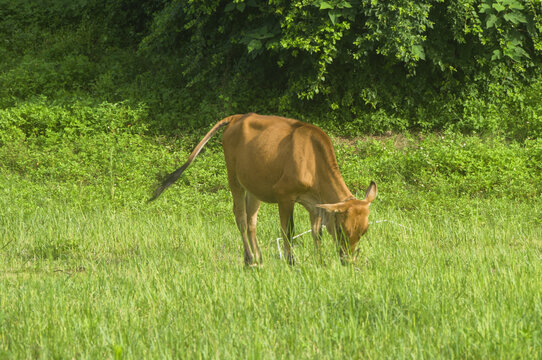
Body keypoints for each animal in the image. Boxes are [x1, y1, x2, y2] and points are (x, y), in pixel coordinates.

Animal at [150, 114, 378, 266]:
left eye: (364, 230)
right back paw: (249, 258)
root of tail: (238, 117)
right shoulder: (285, 196)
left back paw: (258, 257)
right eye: (341, 230)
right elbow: (288, 231)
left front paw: (320, 261)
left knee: (252, 220)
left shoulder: (315, 204)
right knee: (240, 217)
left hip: (254, 188)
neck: (312, 160)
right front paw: (291, 262)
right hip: (234, 178)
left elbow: (317, 233)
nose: (348, 261)